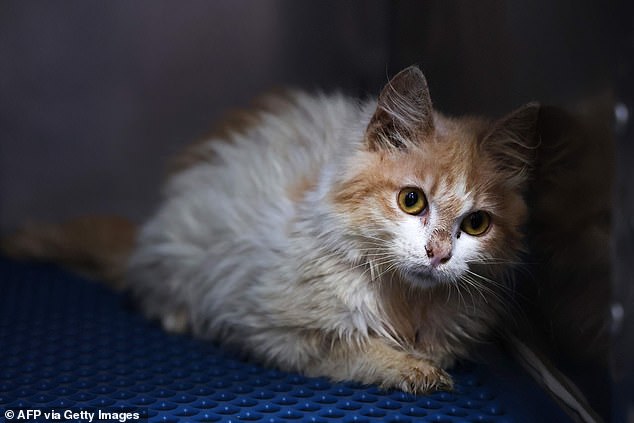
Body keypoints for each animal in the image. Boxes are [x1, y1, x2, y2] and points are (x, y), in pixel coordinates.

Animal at [2, 65, 540, 394]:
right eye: (412, 201)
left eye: (476, 224)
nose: (439, 254)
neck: (408, 302)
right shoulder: (273, 330)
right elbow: (361, 348)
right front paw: (415, 369)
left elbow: (440, 348)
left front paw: (430, 359)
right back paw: (178, 314)